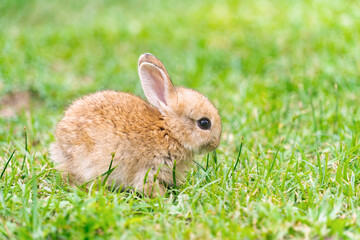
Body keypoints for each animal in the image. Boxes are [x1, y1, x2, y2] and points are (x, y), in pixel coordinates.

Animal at [49, 53, 221, 198]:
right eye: (204, 123)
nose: (216, 143)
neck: (169, 131)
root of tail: (60, 141)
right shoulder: (150, 170)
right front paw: (166, 198)